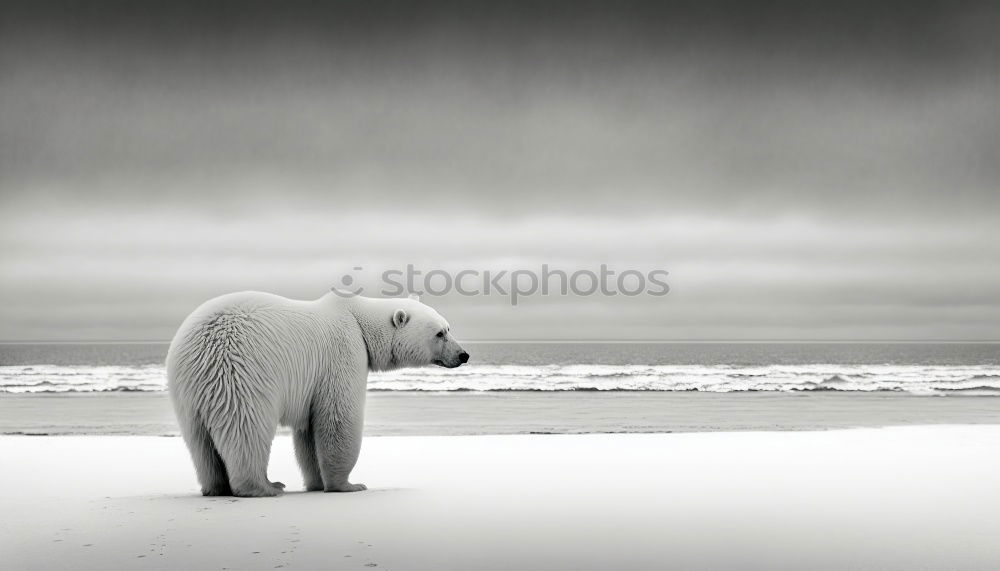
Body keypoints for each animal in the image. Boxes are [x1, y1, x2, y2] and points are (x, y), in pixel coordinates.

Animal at [167, 290, 468, 496]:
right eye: (440, 333)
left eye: (448, 327)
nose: (463, 355)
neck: (358, 319)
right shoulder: (343, 354)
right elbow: (338, 419)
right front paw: (348, 484)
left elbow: (309, 434)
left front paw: (316, 483)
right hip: (241, 372)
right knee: (247, 428)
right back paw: (265, 486)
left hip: (186, 387)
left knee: (199, 441)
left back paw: (216, 487)